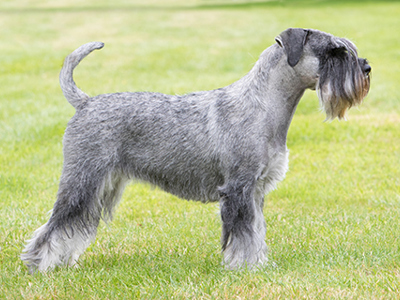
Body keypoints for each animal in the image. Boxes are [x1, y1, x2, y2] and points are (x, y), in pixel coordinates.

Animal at [21, 28, 370, 272]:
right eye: (334, 51)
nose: (366, 67)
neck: (263, 104)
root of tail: (85, 102)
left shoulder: (255, 191)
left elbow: (256, 231)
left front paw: (258, 265)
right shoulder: (238, 189)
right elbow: (243, 234)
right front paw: (243, 268)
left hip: (100, 186)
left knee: (74, 225)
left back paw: (62, 263)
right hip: (82, 181)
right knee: (55, 224)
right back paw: (39, 265)